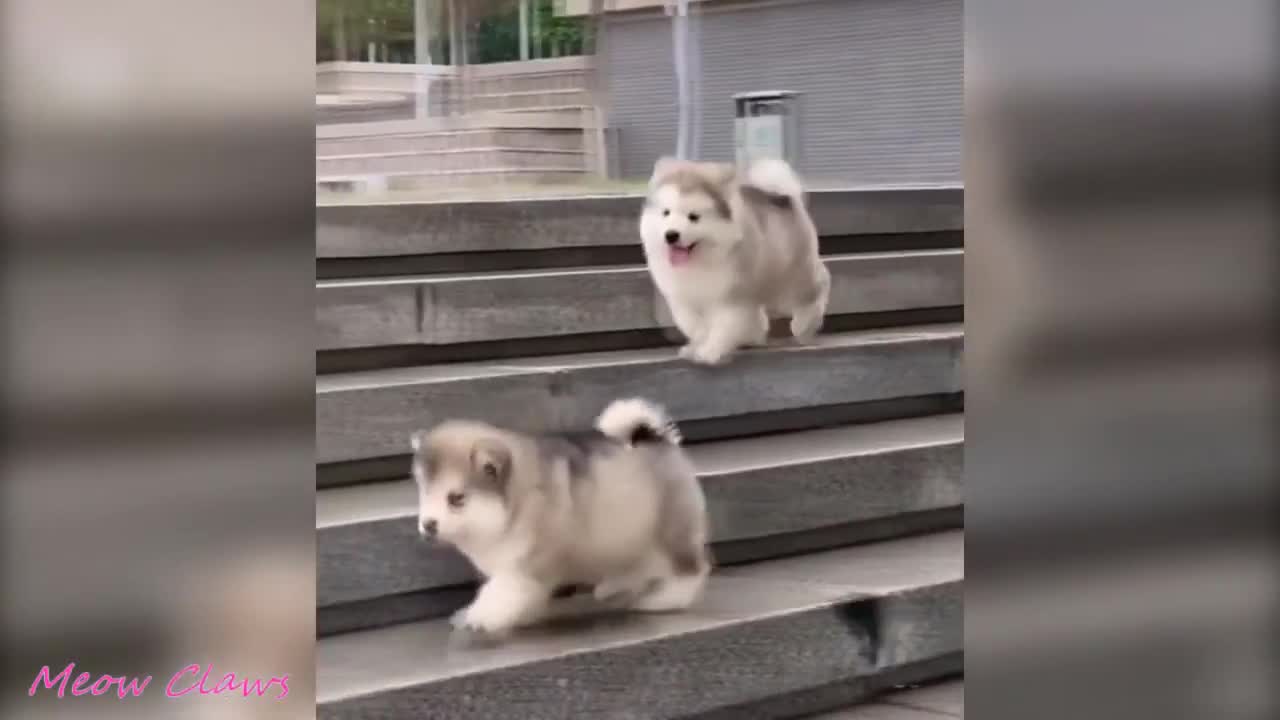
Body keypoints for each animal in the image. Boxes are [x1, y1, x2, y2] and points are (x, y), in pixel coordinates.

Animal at [409, 394, 711, 635]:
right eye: (424, 493)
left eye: (456, 498)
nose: (427, 525)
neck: (517, 503)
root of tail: (660, 442)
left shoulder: (524, 568)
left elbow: (499, 593)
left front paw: (477, 617)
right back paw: (612, 588)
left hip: (671, 533)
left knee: (690, 569)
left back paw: (665, 599)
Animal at [640, 154, 829, 361]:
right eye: (666, 213)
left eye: (693, 217)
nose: (671, 235)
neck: (700, 259)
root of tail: (785, 197)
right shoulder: (683, 298)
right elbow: (694, 325)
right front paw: (696, 345)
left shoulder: (731, 296)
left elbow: (722, 327)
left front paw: (709, 351)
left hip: (790, 278)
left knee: (817, 288)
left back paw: (803, 325)